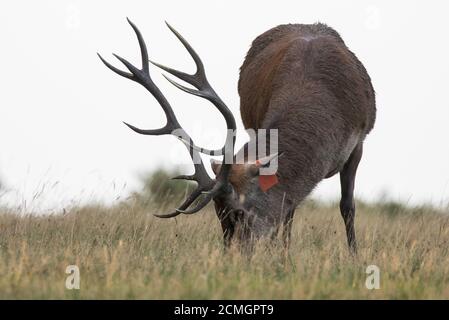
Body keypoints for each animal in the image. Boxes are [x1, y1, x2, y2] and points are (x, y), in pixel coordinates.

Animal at [98, 18, 374, 254]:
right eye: (218, 215)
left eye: (240, 212)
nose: (232, 257)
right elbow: (288, 209)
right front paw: (282, 258)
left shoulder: (358, 142)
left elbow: (347, 206)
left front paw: (354, 258)